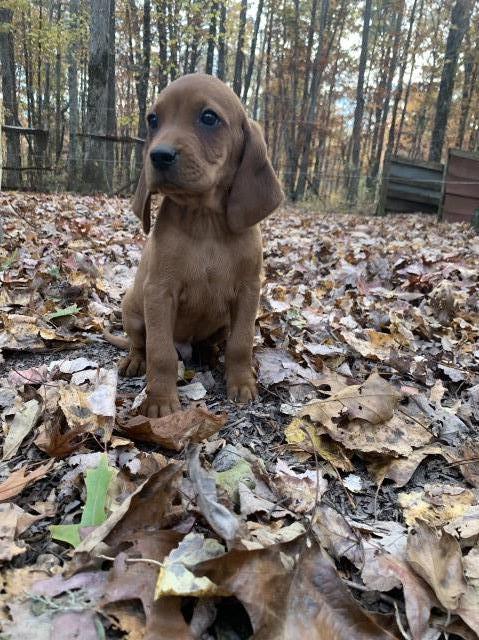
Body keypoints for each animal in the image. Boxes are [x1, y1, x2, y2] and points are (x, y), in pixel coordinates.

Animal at [110, 75, 284, 418]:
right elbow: (160, 352)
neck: (206, 225)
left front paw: (241, 383)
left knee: (215, 343)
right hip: (132, 308)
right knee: (140, 343)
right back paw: (135, 359)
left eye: (208, 117)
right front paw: (161, 401)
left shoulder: (249, 291)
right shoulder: (159, 293)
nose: (159, 155)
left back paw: (212, 355)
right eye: (153, 120)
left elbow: (241, 343)